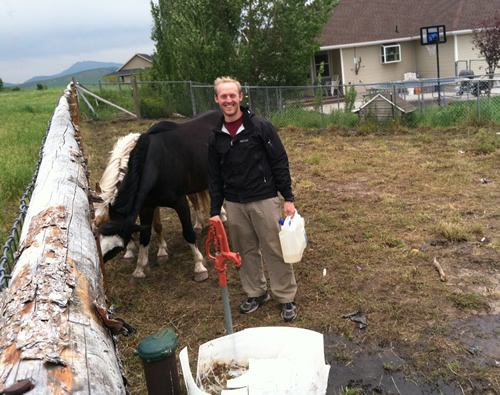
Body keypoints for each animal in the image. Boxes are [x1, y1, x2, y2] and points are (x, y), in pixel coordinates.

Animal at [98, 110, 222, 284]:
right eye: (99, 237)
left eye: (117, 247)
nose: (99, 265)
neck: (157, 165)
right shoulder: (146, 207)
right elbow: (145, 236)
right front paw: (139, 271)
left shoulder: (180, 203)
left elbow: (188, 232)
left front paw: (199, 267)